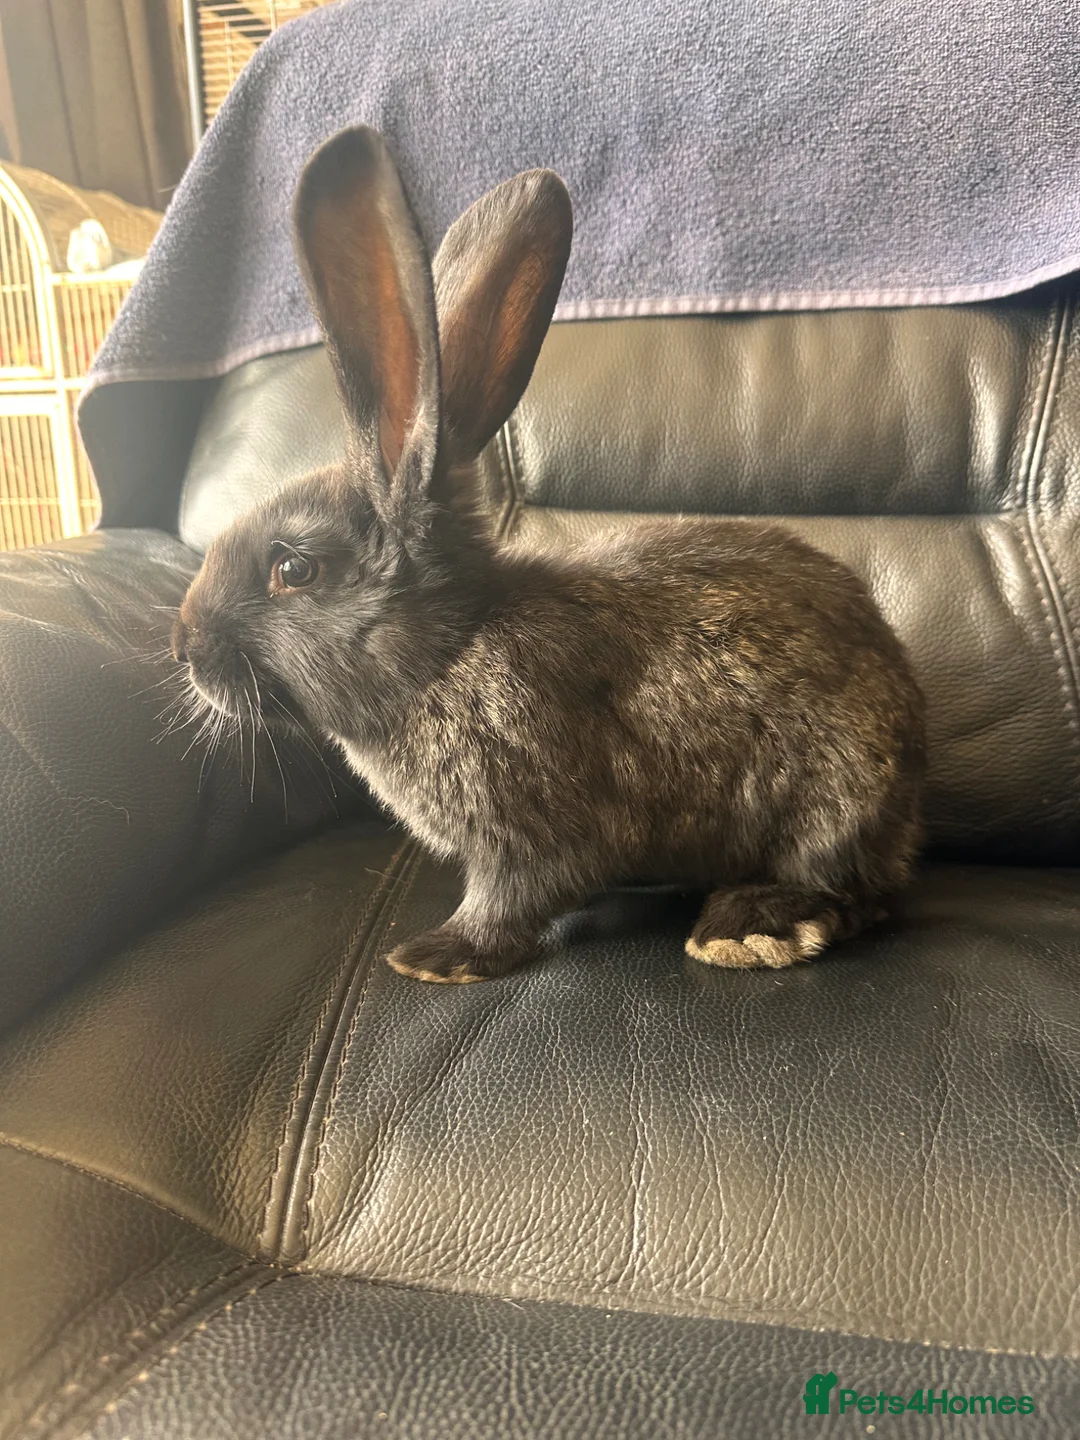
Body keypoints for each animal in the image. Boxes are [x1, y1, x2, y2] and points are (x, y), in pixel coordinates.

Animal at [171, 125, 926, 984]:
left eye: (294, 569)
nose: (186, 644)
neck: (450, 649)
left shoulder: (533, 828)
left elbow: (514, 897)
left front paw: (433, 957)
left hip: (832, 800)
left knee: (847, 890)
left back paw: (743, 928)